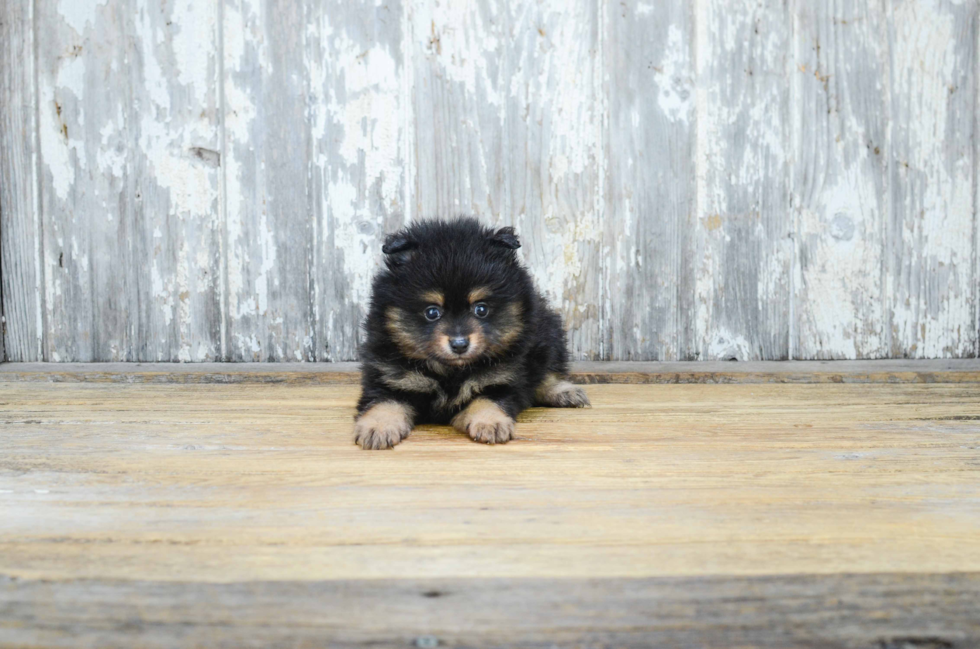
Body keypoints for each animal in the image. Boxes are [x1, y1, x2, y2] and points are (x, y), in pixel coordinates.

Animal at [354, 215, 588, 448]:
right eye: (432, 312)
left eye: (481, 309)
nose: (459, 344)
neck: (450, 373)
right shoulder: (392, 377)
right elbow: (383, 403)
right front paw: (378, 427)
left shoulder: (502, 377)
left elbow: (487, 399)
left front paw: (491, 422)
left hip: (547, 334)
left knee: (546, 373)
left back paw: (563, 392)